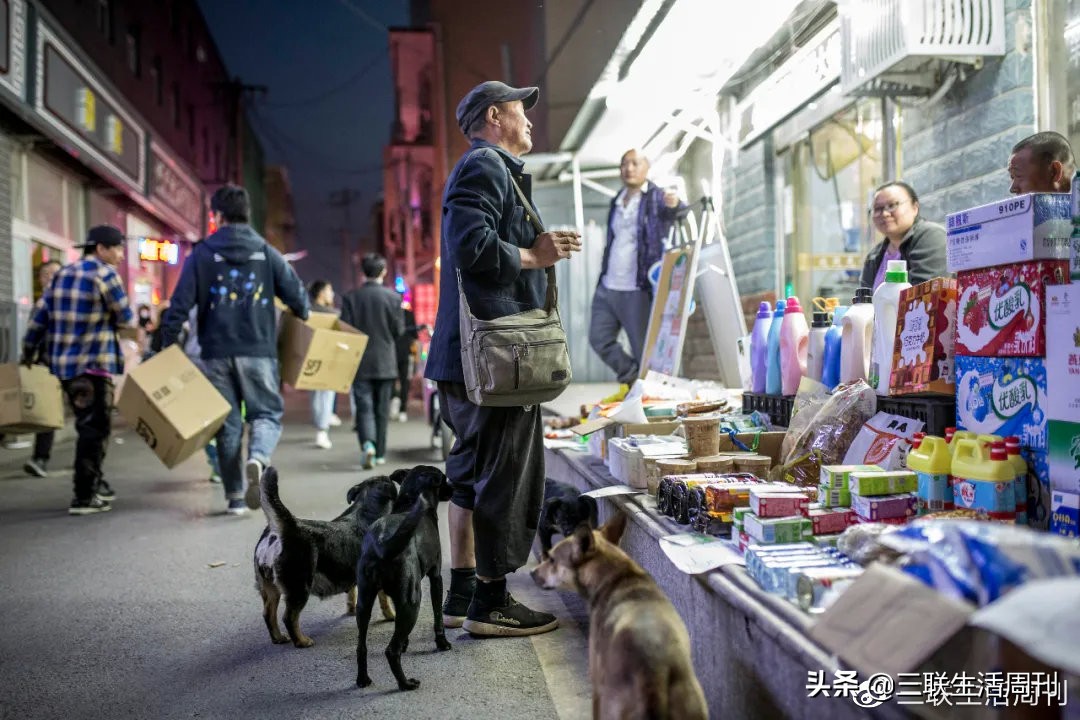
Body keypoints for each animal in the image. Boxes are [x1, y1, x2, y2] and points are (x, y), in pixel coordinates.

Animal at [253, 468, 406, 647]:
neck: (365, 510)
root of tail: (281, 530)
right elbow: (385, 601)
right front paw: (391, 615)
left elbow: (352, 594)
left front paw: (352, 610)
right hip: (299, 588)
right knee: (289, 617)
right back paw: (302, 641)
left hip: (270, 588)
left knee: (268, 614)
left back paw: (278, 638)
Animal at [356, 464, 453, 690]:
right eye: (443, 479)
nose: (453, 489)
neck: (411, 501)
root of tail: (381, 543)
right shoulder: (436, 577)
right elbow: (438, 616)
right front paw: (442, 643)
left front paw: (406, 643)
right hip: (412, 601)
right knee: (391, 651)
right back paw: (405, 683)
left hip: (364, 603)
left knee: (362, 646)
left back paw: (362, 679)